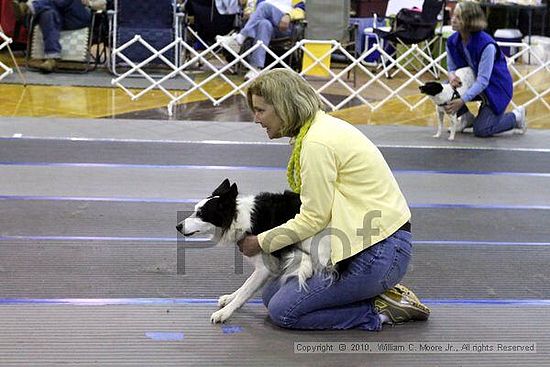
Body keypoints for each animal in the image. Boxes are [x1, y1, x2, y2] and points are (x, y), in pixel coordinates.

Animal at [178, 180, 332, 324]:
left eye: (200, 214)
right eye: (195, 210)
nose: (178, 226)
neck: (239, 219)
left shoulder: (264, 268)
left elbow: (246, 290)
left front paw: (224, 313)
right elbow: (245, 285)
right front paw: (230, 298)